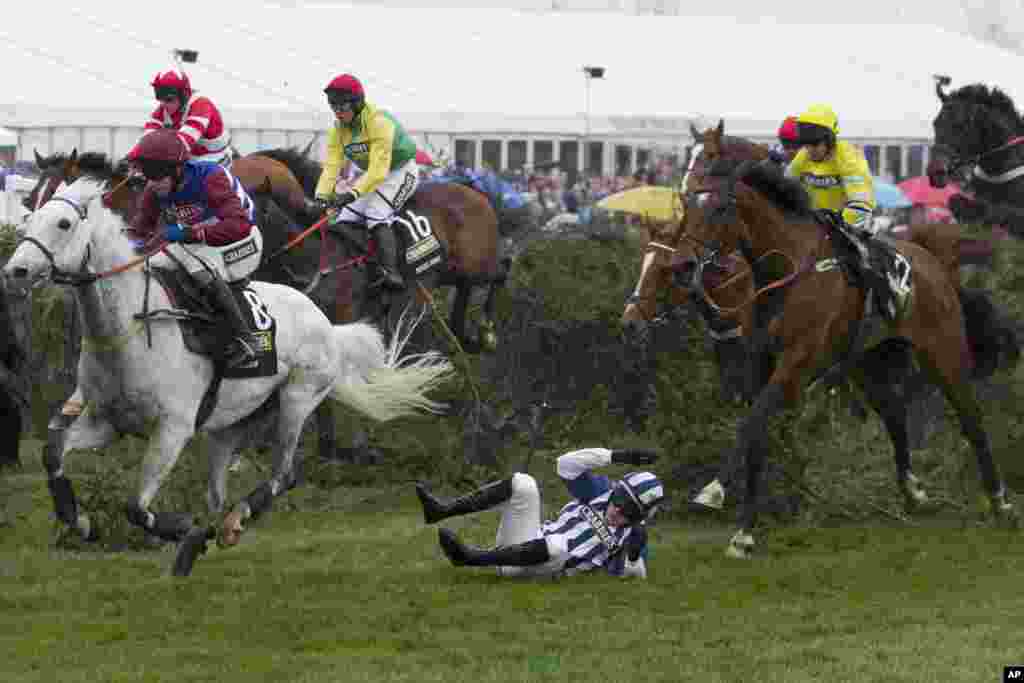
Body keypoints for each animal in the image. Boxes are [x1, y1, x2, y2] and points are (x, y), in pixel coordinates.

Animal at [4, 172, 452, 577]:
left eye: (63, 223)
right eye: (32, 216)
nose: (15, 271)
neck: (125, 327)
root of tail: (326, 324)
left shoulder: (172, 429)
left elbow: (135, 507)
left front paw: (180, 529)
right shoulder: (107, 421)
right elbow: (53, 453)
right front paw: (78, 520)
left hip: (296, 400)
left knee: (283, 474)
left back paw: (232, 522)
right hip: (229, 426)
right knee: (217, 494)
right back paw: (212, 532)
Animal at [679, 156, 1015, 561]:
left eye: (719, 208)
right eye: (686, 205)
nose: (683, 266)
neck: (787, 272)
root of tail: (931, 260)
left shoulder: (795, 364)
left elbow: (752, 424)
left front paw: (712, 491)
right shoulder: (761, 365)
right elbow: (757, 435)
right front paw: (743, 534)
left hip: (943, 352)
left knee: (971, 419)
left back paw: (999, 501)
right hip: (867, 362)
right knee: (895, 415)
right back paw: (913, 491)